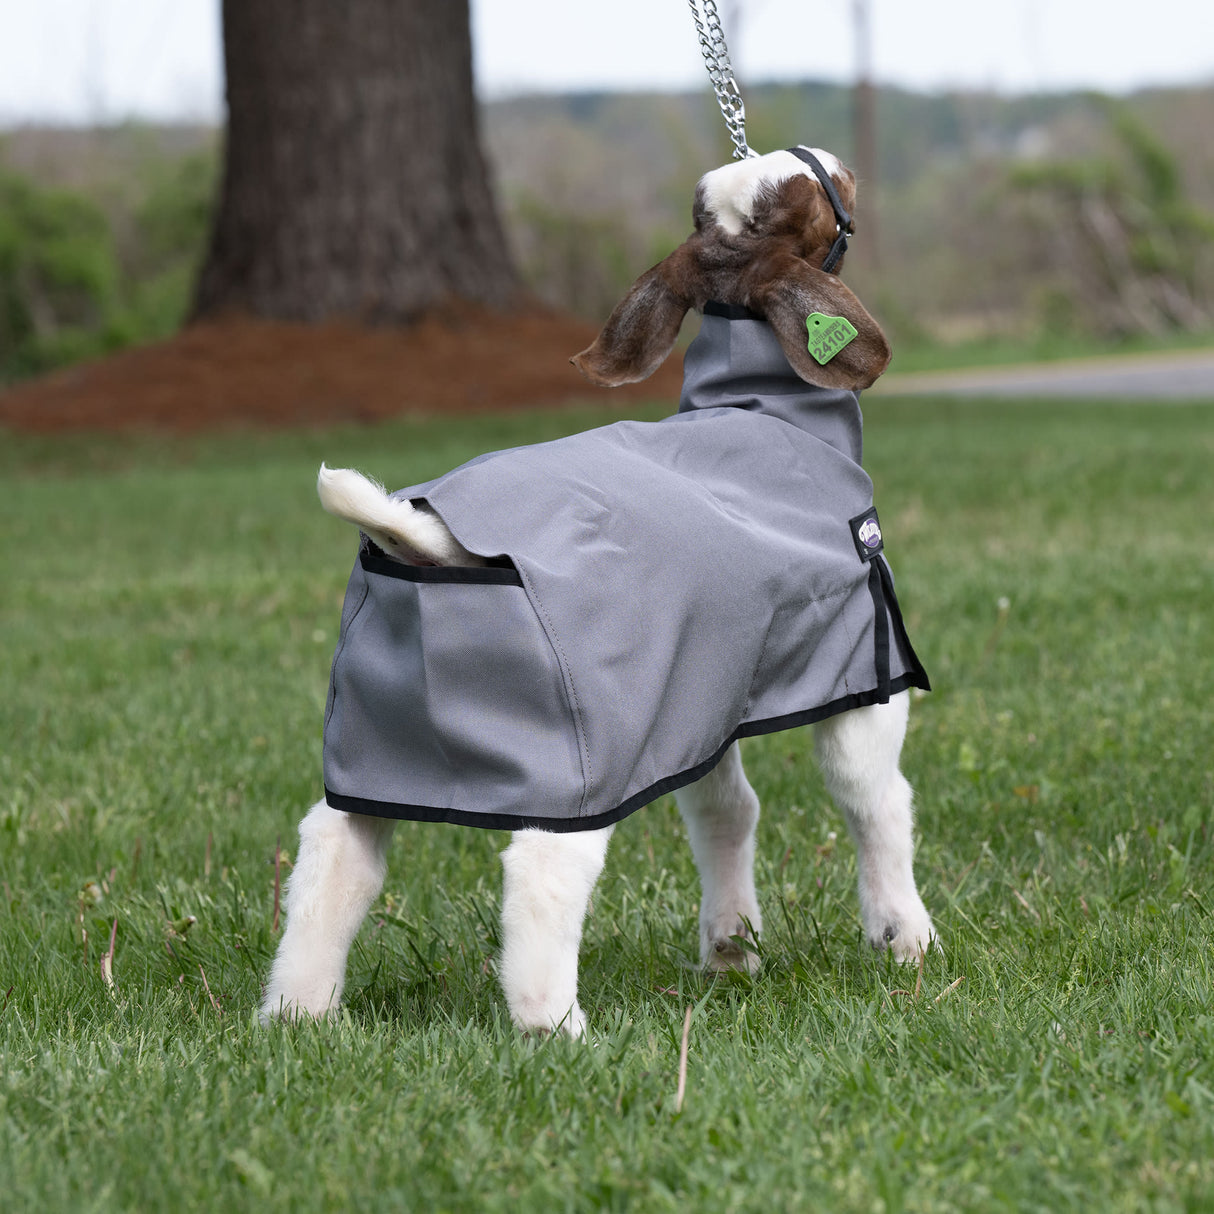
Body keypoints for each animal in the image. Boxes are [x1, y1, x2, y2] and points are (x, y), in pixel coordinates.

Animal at [261, 147, 936, 1037]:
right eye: (801, 194)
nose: (833, 161)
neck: (765, 415)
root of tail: (428, 538)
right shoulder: (863, 662)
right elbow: (874, 800)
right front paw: (905, 939)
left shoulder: (702, 699)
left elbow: (725, 811)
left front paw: (731, 951)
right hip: (573, 756)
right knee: (545, 868)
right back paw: (556, 1028)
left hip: (376, 737)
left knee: (337, 849)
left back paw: (298, 1013)